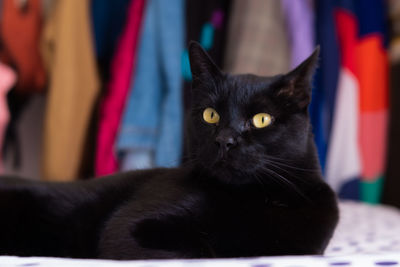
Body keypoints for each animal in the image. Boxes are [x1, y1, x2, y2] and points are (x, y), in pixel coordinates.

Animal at [0, 43, 340, 260]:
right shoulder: (127, 228)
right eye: (211, 115)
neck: (255, 198)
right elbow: (202, 252)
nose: (225, 140)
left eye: (261, 119)